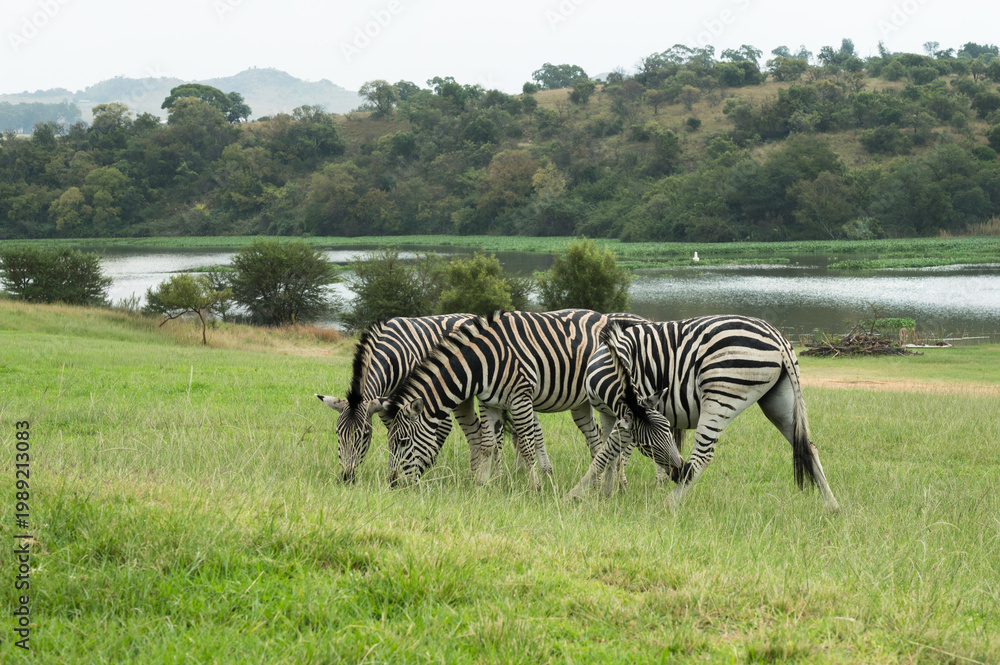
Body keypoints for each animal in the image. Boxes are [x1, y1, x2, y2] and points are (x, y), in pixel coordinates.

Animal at [380, 309, 645, 489]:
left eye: (403, 442)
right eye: (390, 442)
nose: (392, 483)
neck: (482, 363)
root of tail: (608, 318)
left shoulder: (520, 399)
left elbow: (527, 445)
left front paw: (534, 487)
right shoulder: (489, 403)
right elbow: (487, 444)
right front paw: (482, 484)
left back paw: (619, 484)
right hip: (581, 403)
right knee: (596, 438)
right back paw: (597, 484)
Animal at [572, 315, 839, 510]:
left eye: (669, 433)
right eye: (647, 445)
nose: (679, 473)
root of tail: (779, 339)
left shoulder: (628, 415)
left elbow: (605, 454)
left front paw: (576, 495)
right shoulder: (609, 413)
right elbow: (610, 455)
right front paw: (606, 494)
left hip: (719, 396)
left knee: (703, 456)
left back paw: (668, 505)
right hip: (779, 401)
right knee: (808, 446)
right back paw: (831, 506)